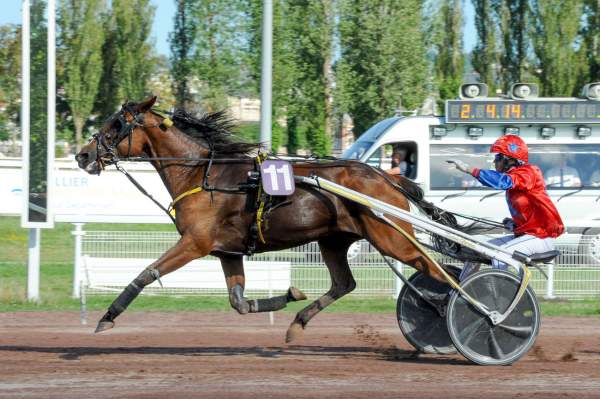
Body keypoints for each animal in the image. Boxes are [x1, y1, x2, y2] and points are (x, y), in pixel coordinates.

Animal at [76, 97, 464, 344]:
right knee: (345, 284)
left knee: (438, 270)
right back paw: (298, 322)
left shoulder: (195, 242)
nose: (82, 155)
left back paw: (456, 309)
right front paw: (288, 295)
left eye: (116, 124)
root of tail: (385, 177)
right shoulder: (227, 251)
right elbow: (239, 302)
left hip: (390, 238)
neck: (203, 174)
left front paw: (107, 317)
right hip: (334, 240)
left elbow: (146, 273)